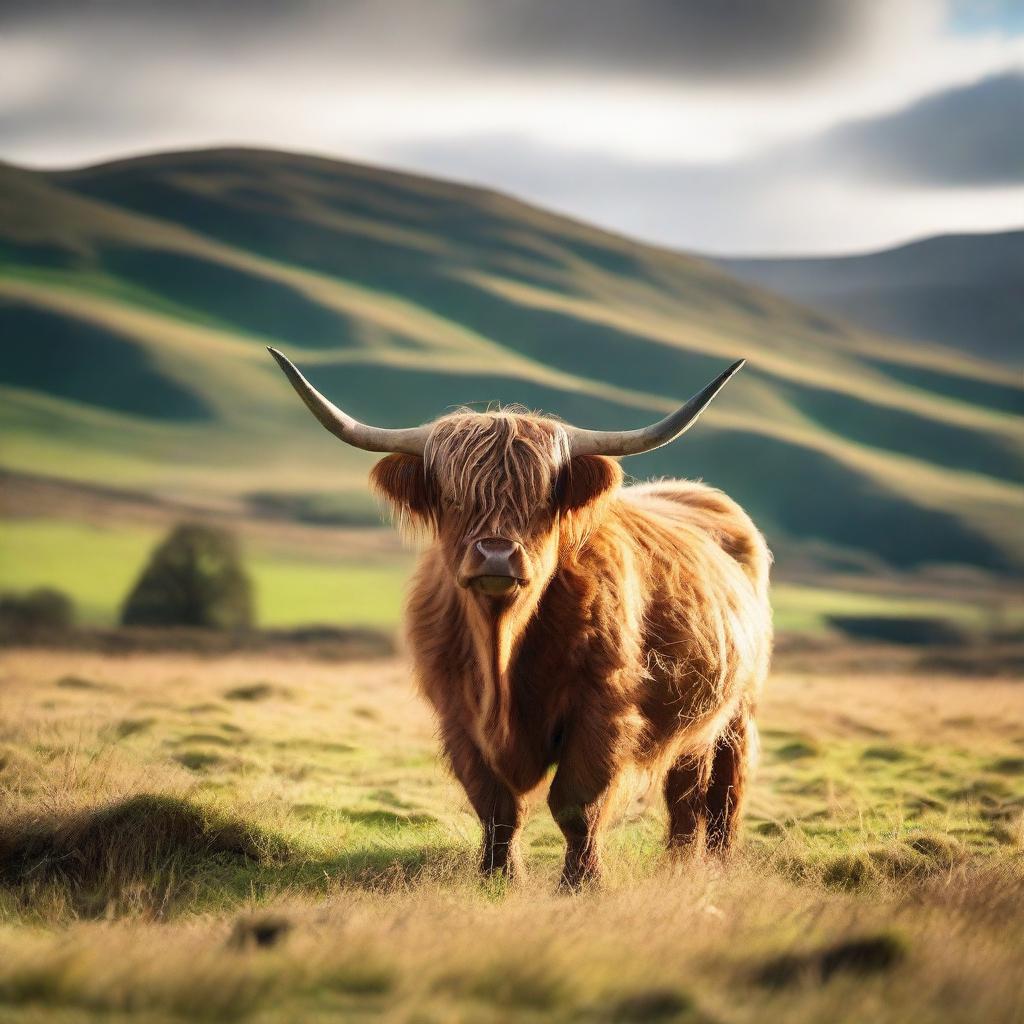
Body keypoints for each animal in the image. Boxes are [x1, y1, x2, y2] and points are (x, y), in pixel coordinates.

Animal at [270, 346, 770, 888]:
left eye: (542, 498)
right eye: (452, 496)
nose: (495, 555)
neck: (502, 649)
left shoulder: (602, 711)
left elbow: (576, 804)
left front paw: (581, 884)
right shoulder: (458, 716)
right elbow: (494, 805)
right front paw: (497, 879)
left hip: (738, 708)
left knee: (722, 789)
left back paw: (711, 866)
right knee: (685, 789)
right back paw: (679, 865)